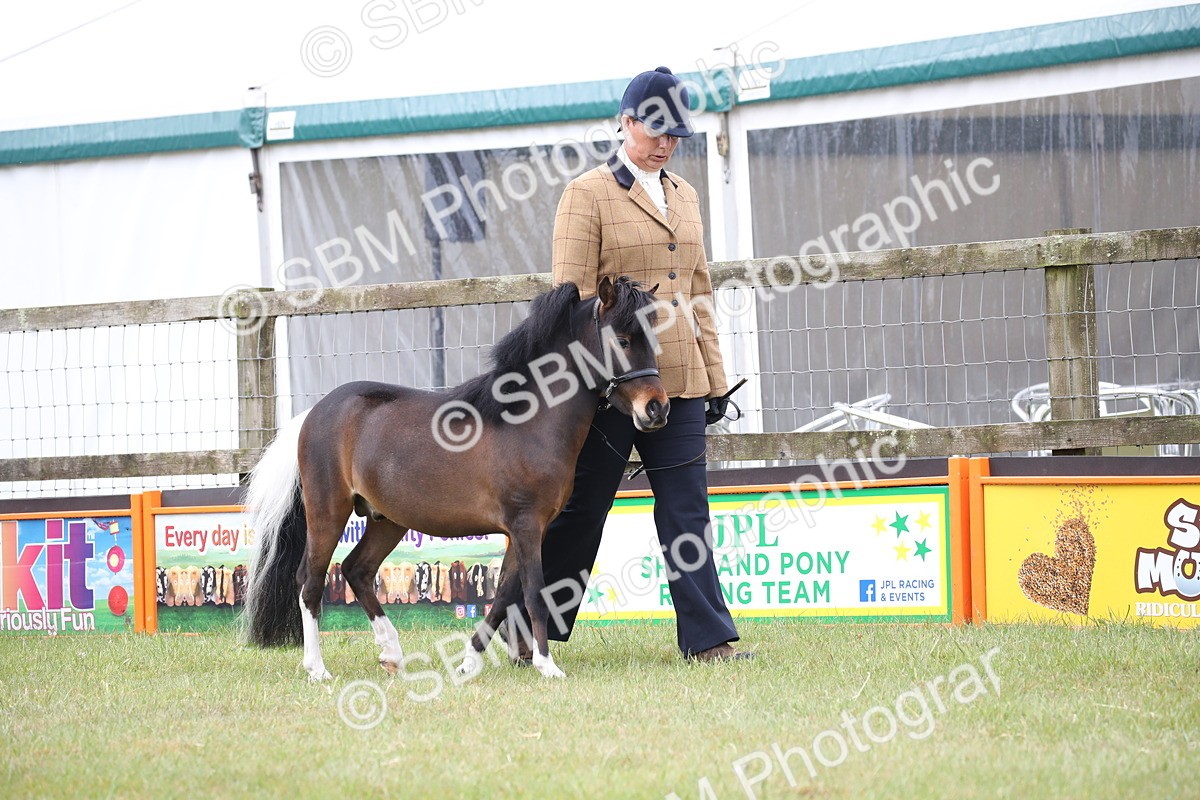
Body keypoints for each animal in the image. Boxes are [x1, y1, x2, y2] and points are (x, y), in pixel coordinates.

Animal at [242, 276, 669, 680]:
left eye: (653, 339)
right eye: (622, 339)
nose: (657, 409)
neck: (528, 422)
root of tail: (314, 412)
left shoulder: (523, 530)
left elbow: (503, 596)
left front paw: (468, 662)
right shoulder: (527, 525)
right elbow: (534, 593)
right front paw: (547, 665)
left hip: (387, 520)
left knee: (356, 570)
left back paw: (391, 653)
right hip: (327, 511)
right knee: (310, 581)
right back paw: (317, 668)